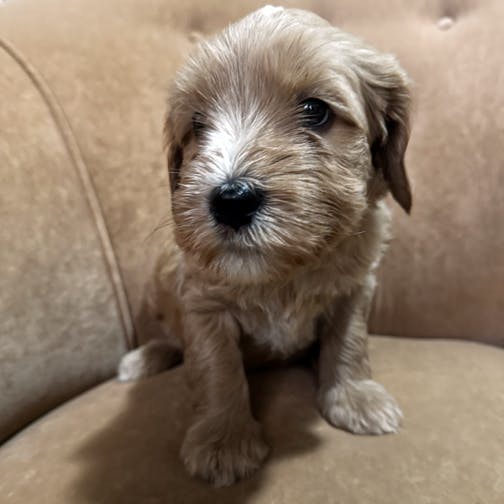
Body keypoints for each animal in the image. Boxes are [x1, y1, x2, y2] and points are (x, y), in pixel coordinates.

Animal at [120, 4, 412, 488]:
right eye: (196, 124)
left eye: (315, 111)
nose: (231, 199)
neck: (284, 271)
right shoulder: (202, 304)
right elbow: (217, 369)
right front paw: (224, 440)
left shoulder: (356, 286)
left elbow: (348, 341)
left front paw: (353, 396)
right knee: (170, 338)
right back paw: (146, 357)